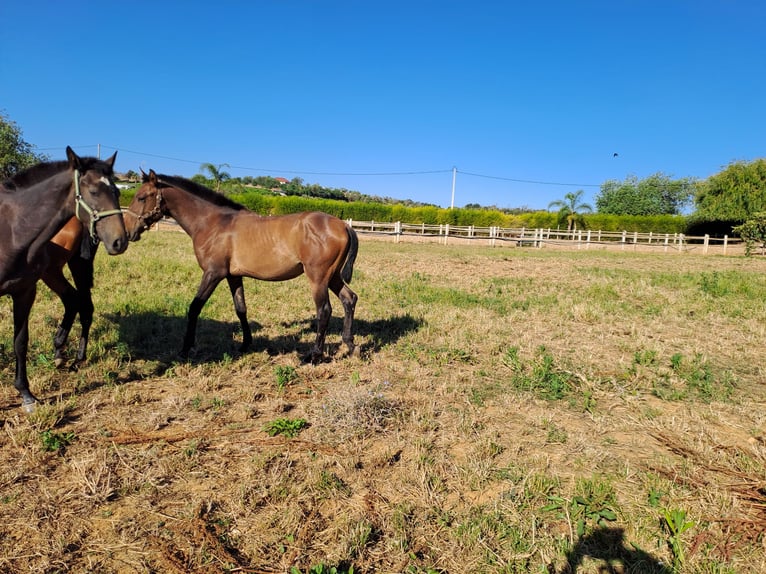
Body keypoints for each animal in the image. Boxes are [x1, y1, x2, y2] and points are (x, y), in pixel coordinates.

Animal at [0, 146, 128, 412]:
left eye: (116, 191)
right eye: (93, 191)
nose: (119, 241)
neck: (11, 229)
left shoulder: (25, 291)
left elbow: (20, 341)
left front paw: (26, 394)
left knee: (78, 302)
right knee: (77, 301)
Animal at [124, 169, 362, 362]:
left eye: (141, 197)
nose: (128, 232)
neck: (213, 223)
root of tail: (343, 225)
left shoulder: (213, 273)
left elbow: (194, 308)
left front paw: (185, 350)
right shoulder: (233, 276)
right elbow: (241, 309)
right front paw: (246, 344)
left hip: (318, 277)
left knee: (324, 310)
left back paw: (314, 355)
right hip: (332, 277)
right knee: (349, 299)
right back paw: (350, 344)